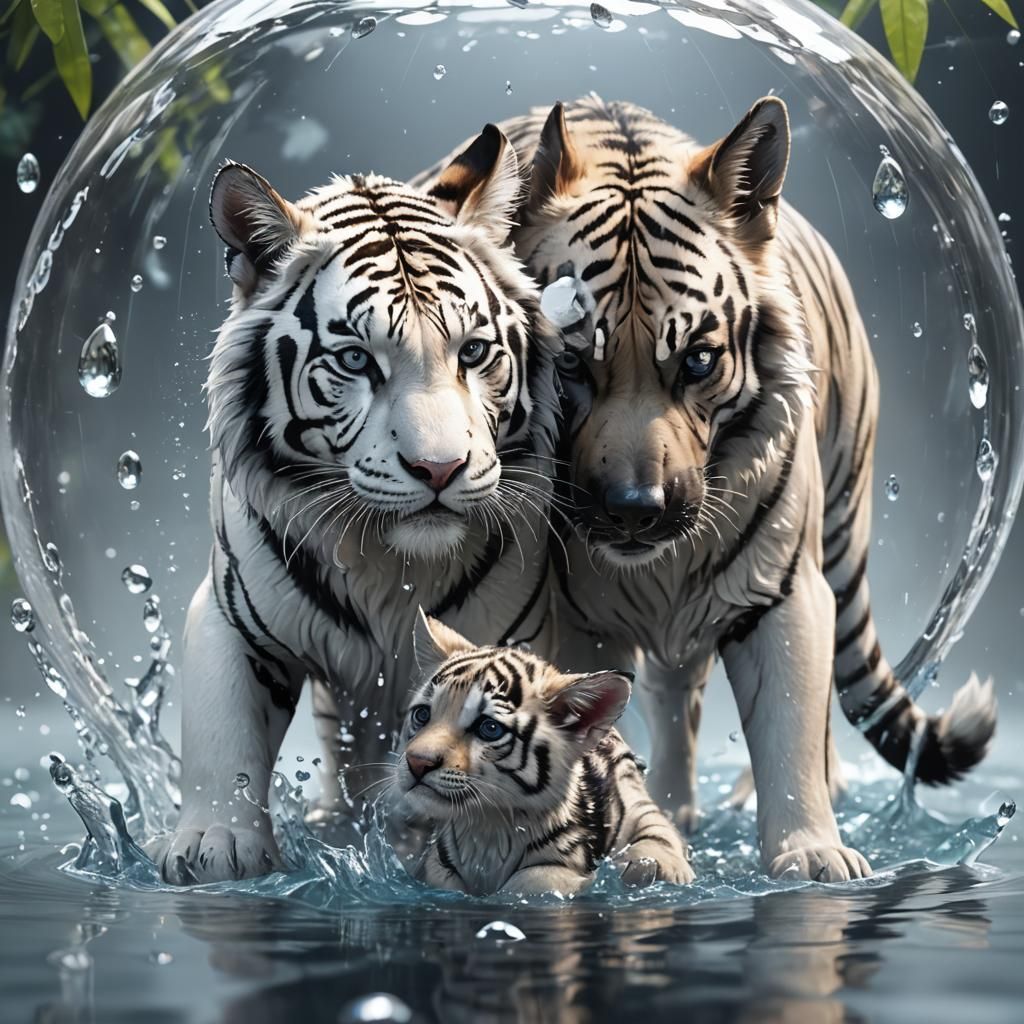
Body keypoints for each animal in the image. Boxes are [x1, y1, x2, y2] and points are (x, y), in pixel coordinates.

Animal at [146, 125, 565, 884]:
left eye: (473, 352)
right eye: (355, 361)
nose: (439, 468)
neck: (390, 566)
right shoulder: (231, 615)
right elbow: (224, 736)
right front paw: (214, 844)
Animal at [396, 610, 692, 895]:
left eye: (489, 728)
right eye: (422, 715)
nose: (417, 762)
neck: (488, 828)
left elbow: (534, 879)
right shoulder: (439, 862)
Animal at [417, 96, 995, 882]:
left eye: (697, 360)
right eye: (572, 362)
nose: (635, 512)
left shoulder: (786, 592)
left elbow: (790, 727)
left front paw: (812, 853)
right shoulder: (574, 621)